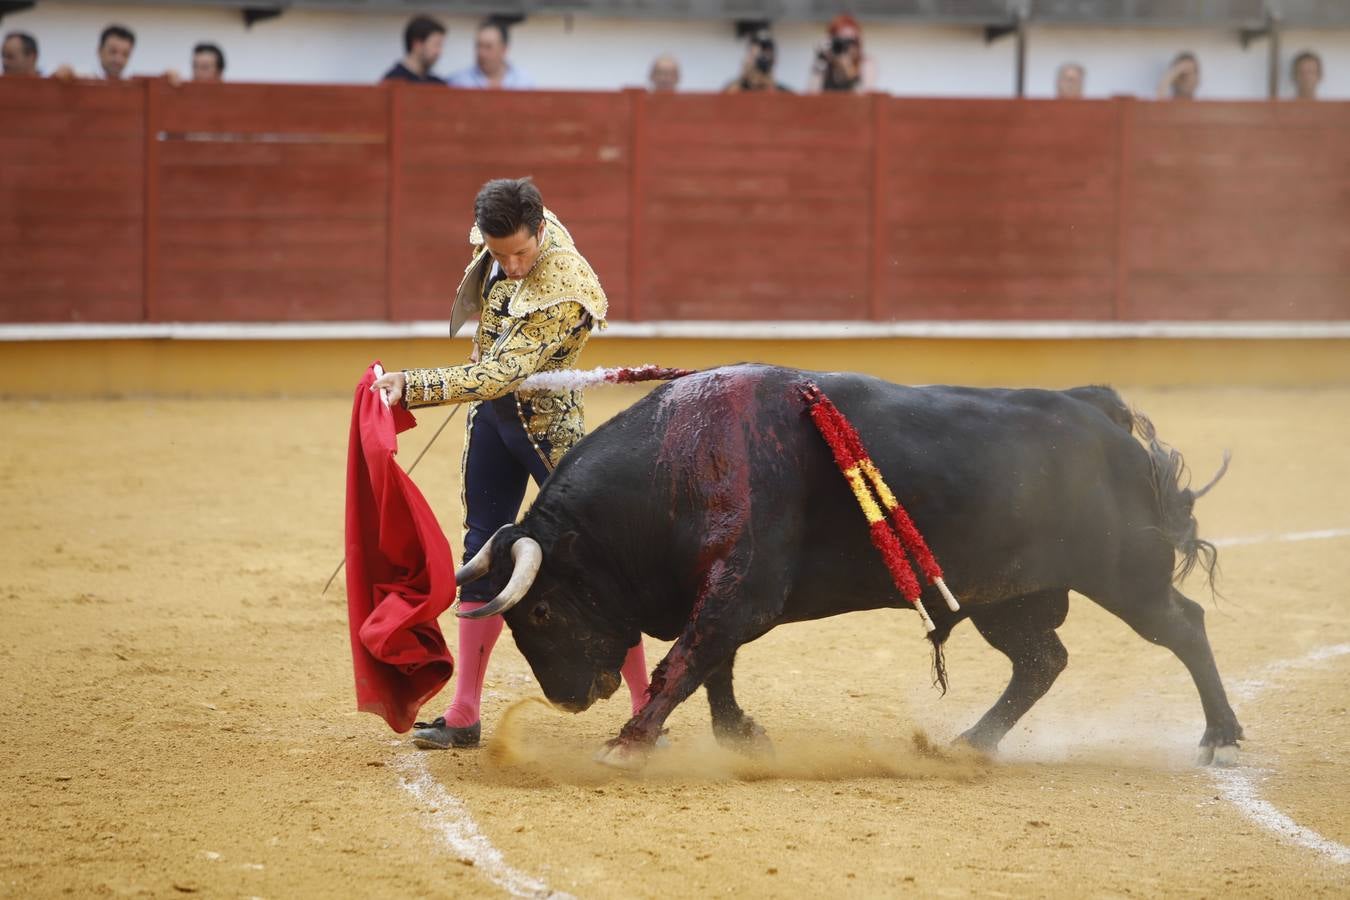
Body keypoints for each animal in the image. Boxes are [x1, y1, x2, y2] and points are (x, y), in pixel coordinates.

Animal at [448, 367, 1236, 766]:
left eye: (541, 608)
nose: (569, 699)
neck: (679, 462)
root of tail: (1097, 410)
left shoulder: (743, 590)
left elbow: (690, 660)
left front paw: (629, 743)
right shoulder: (725, 589)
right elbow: (715, 666)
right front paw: (742, 737)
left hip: (1125, 573)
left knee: (1184, 626)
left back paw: (1221, 740)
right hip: (1005, 596)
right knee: (1042, 661)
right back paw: (969, 744)